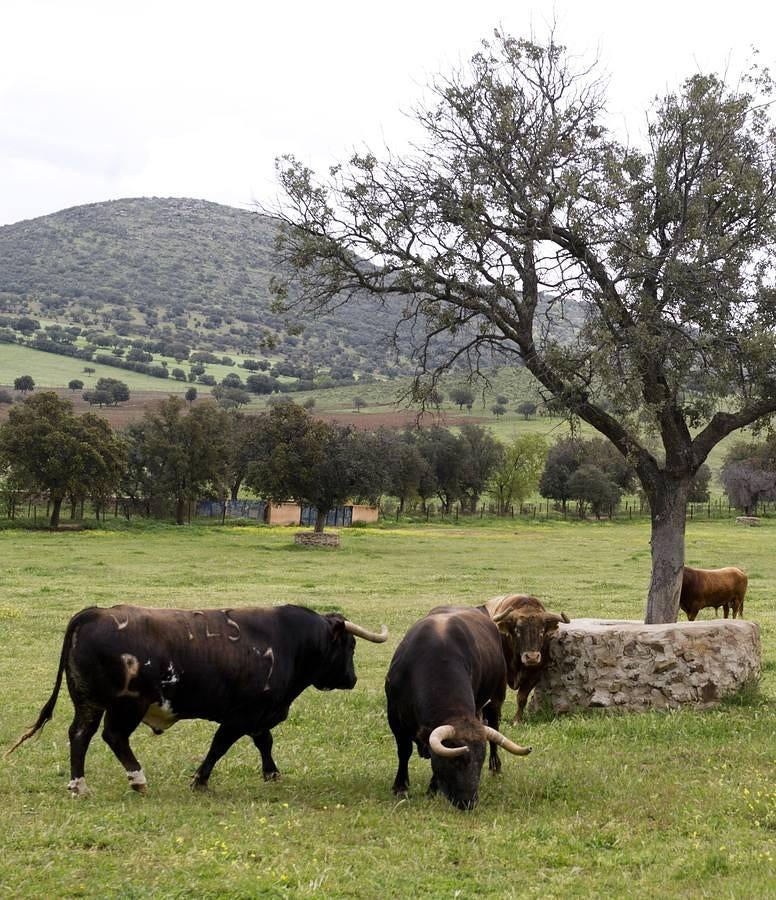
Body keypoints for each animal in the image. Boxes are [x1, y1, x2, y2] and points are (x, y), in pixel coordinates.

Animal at [6, 604, 388, 796]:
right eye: (350, 645)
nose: (352, 679)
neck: (289, 641)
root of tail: (94, 612)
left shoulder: (256, 716)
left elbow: (264, 741)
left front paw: (271, 773)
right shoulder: (241, 715)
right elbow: (220, 746)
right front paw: (200, 779)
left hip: (89, 702)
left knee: (79, 736)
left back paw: (79, 785)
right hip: (126, 705)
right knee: (113, 737)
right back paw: (137, 779)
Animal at [384, 608, 532, 812]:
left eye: (480, 761)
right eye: (456, 760)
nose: (469, 802)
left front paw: (432, 790)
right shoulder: (395, 717)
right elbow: (404, 751)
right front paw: (400, 787)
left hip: (496, 699)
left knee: (495, 730)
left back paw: (495, 768)